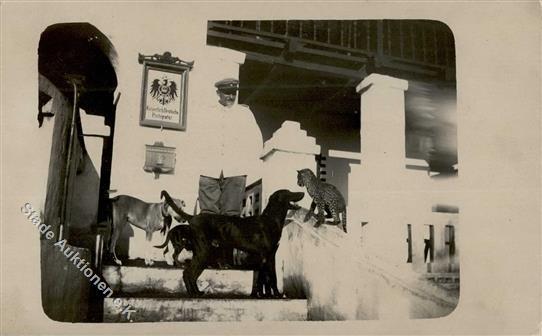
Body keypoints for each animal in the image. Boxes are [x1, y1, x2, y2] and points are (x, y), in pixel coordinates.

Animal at [162, 189, 306, 296]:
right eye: (289, 192)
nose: (303, 193)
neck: (271, 219)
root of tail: (193, 218)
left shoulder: (267, 256)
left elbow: (265, 279)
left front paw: (264, 294)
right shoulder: (266, 256)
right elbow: (271, 279)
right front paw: (275, 295)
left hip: (202, 254)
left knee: (191, 274)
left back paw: (197, 292)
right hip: (204, 252)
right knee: (188, 273)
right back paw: (194, 294)